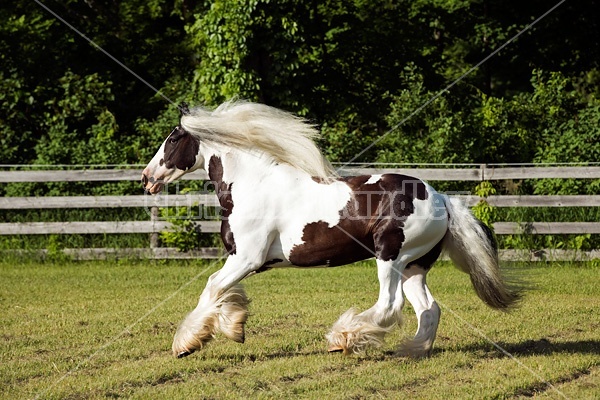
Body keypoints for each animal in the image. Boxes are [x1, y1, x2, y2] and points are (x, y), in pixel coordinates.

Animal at [142, 100, 520, 360]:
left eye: (173, 140)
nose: (147, 178)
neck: (252, 184)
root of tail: (441, 197)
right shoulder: (246, 261)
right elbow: (222, 294)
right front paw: (235, 327)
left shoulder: (246, 258)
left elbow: (211, 289)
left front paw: (187, 344)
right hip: (414, 266)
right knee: (429, 309)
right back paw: (411, 350)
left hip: (391, 257)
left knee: (390, 304)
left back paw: (343, 340)